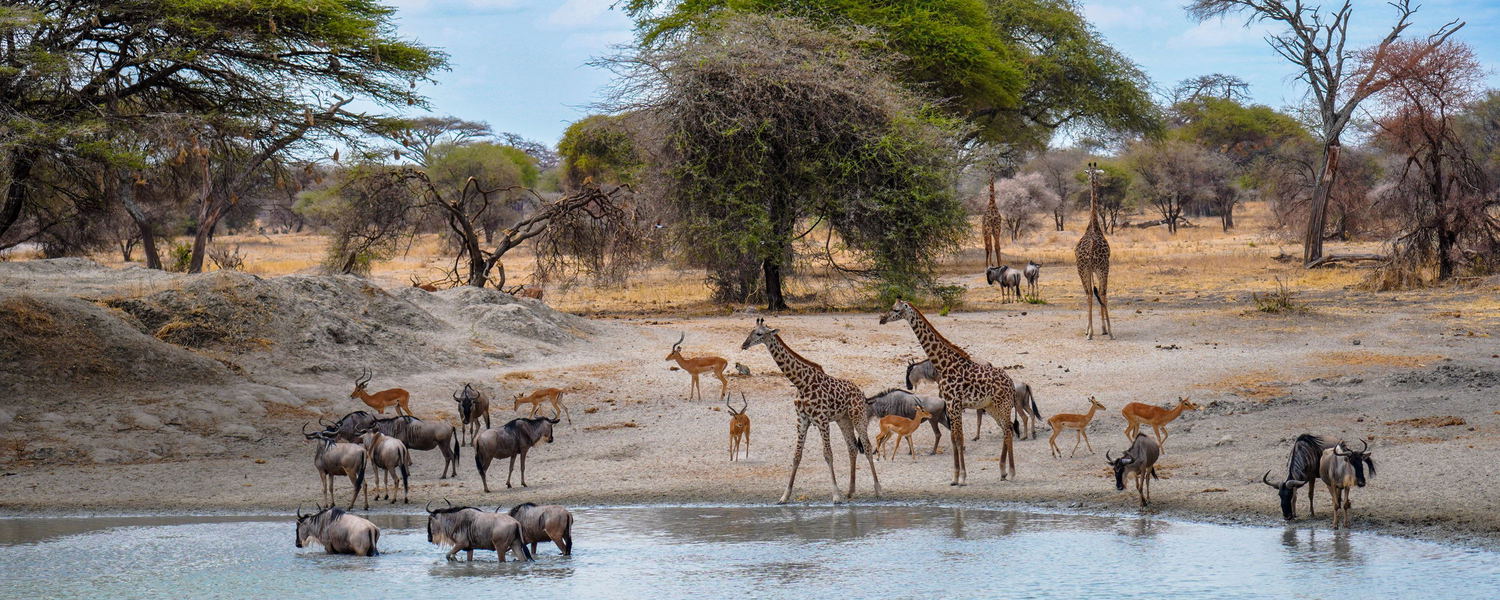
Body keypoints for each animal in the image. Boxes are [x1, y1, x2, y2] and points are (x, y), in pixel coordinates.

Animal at [741, 318, 881, 504]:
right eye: (750, 331)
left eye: (759, 333)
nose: (744, 345)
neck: (801, 382)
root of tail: (860, 391)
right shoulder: (801, 420)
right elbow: (796, 456)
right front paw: (785, 496)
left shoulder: (822, 420)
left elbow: (828, 454)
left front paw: (836, 495)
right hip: (843, 420)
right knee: (852, 447)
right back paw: (850, 491)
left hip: (858, 416)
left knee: (867, 445)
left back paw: (878, 489)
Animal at [878, 301, 1014, 486]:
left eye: (896, 309)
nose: (882, 319)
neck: (944, 365)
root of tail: (1011, 382)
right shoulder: (950, 405)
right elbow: (953, 438)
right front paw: (955, 477)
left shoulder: (955, 404)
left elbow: (959, 438)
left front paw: (962, 477)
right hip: (992, 407)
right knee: (1007, 430)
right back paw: (1003, 472)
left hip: (1003, 405)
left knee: (1008, 430)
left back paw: (1011, 472)